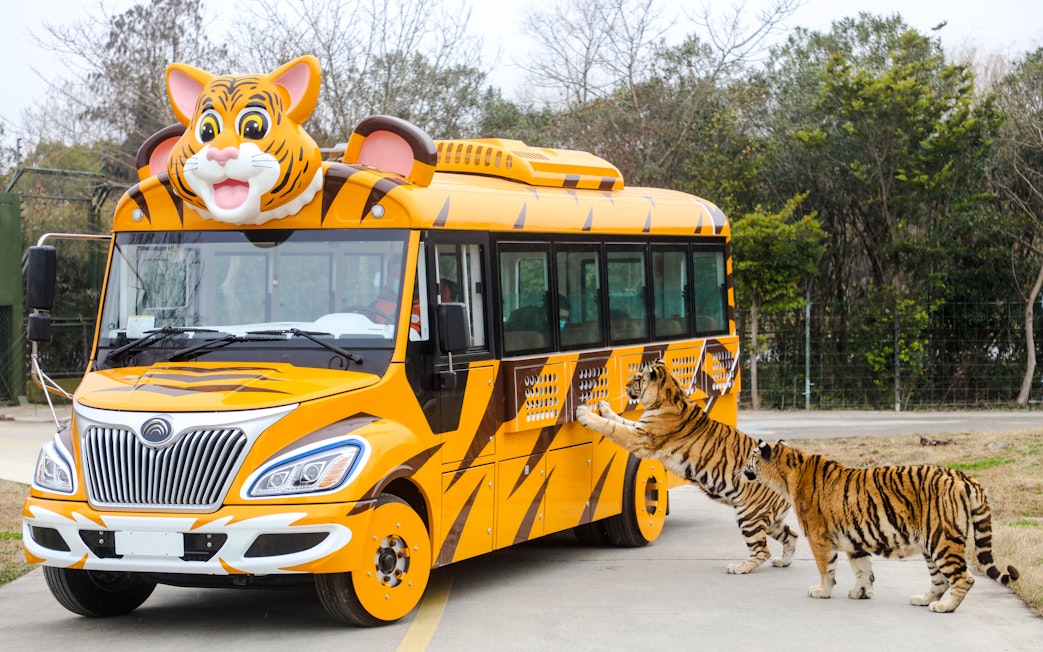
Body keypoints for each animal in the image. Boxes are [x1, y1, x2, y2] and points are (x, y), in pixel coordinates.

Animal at [575, 359, 797, 574]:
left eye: (637, 377)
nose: (626, 386)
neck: (668, 395)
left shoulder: (641, 439)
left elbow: (613, 427)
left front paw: (584, 413)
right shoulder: (639, 428)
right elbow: (620, 420)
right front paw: (604, 407)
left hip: (749, 516)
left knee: (762, 551)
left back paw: (739, 568)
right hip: (771, 520)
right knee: (792, 535)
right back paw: (783, 562)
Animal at [741, 439, 1020, 613]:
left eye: (752, 456)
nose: (742, 468)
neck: (787, 474)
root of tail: (963, 475)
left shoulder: (819, 537)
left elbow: (826, 568)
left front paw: (822, 591)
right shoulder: (854, 540)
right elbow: (863, 569)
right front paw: (861, 592)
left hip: (942, 540)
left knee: (963, 578)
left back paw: (945, 607)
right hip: (931, 545)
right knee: (940, 581)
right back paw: (922, 600)